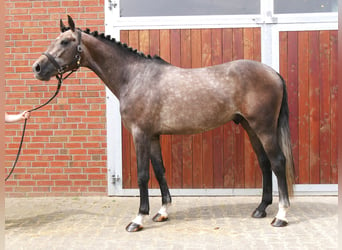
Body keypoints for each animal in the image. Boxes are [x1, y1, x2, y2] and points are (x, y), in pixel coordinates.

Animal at [32, 16, 296, 232]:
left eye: (65, 42)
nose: (37, 67)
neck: (133, 77)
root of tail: (273, 73)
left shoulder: (139, 134)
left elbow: (142, 175)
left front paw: (138, 219)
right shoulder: (153, 136)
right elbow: (159, 170)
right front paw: (162, 212)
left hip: (264, 128)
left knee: (278, 162)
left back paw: (281, 216)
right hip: (251, 128)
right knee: (264, 164)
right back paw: (260, 209)